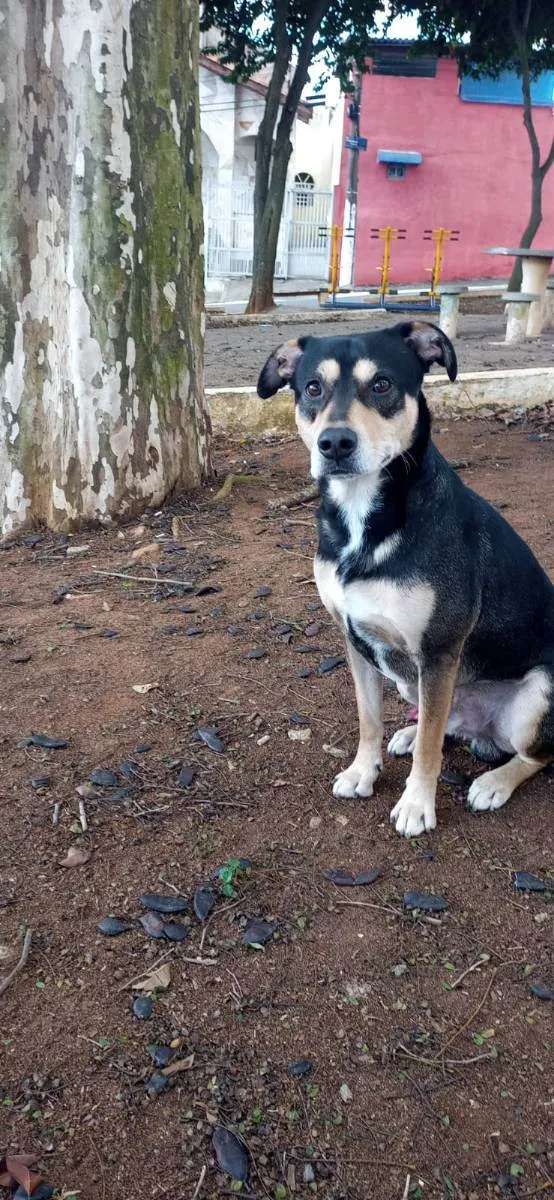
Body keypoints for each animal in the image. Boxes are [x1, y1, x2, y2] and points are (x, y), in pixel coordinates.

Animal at [257, 324, 551, 840]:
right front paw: (362, 771)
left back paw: (494, 782)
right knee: (443, 720)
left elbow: (432, 750)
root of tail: (486, 733)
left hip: (537, 693)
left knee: (535, 755)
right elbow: (369, 718)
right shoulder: (356, 639)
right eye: (312, 388)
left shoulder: (437, 650)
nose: (334, 443)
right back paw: (413, 732)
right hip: (414, 681)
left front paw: (417, 804)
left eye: (382, 384)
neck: (365, 518)